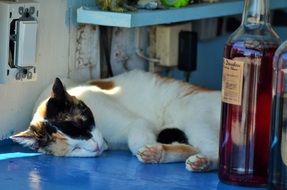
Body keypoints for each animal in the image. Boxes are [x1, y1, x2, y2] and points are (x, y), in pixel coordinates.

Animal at [10, 70, 222, 172]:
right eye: (74, 149)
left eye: (82, 124)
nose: (95, 147)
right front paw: (154, 151)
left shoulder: (138, 123)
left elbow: (136, 141)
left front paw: (150, 148)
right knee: (194, 147)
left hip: (196, 120)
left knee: (216, 153)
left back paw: (201, 162)